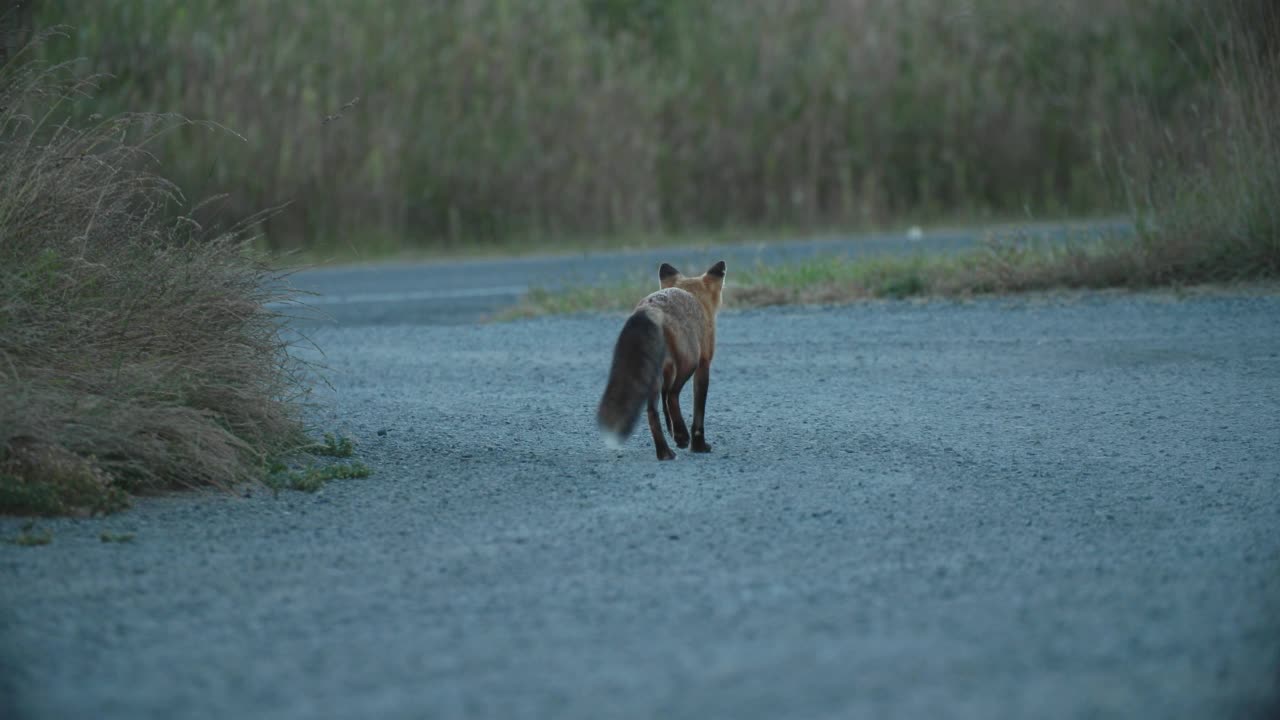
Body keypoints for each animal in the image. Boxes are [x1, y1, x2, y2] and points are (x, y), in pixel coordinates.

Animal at [596, 260, 727, 456]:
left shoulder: (667, 370)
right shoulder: (704, 364)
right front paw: (698, 445)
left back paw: (665, 452)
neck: (694, 297)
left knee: (653, 410)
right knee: (672, 395)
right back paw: (680, 436)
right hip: (689, 362)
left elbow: (664, 404)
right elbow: (698, 410)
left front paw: (673, 432)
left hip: (654, 373)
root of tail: (649, 308)